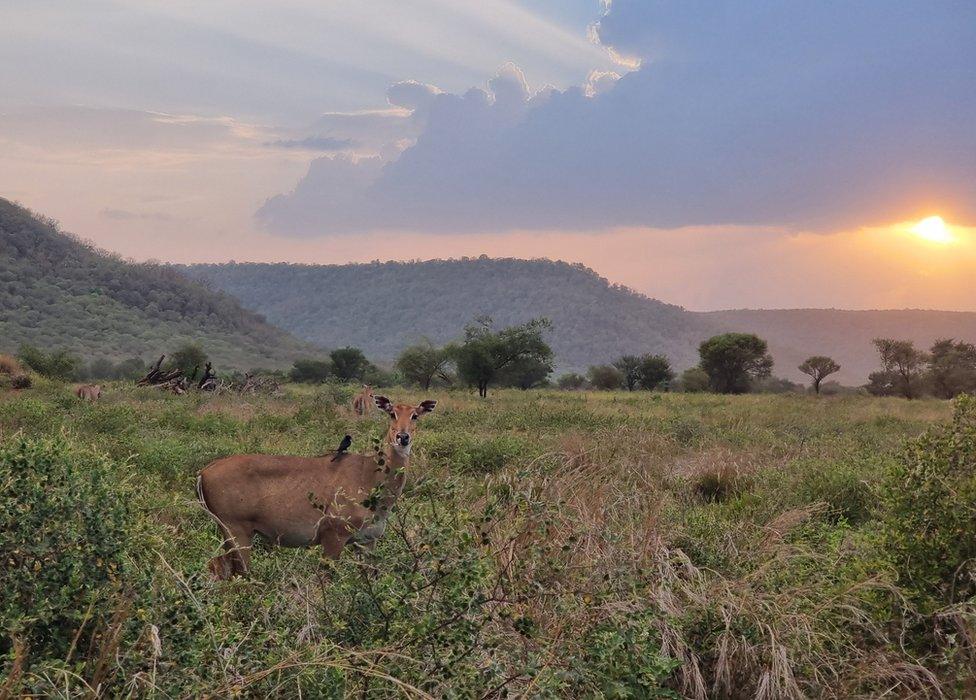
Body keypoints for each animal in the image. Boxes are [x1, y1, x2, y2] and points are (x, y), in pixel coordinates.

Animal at [198, 394, 434, 580]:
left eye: (415, 415)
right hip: (237, 531)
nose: (402, 437)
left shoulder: (368, 541)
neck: (370, 476)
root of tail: (204, 472)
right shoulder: (334, 536)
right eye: (391, 413)